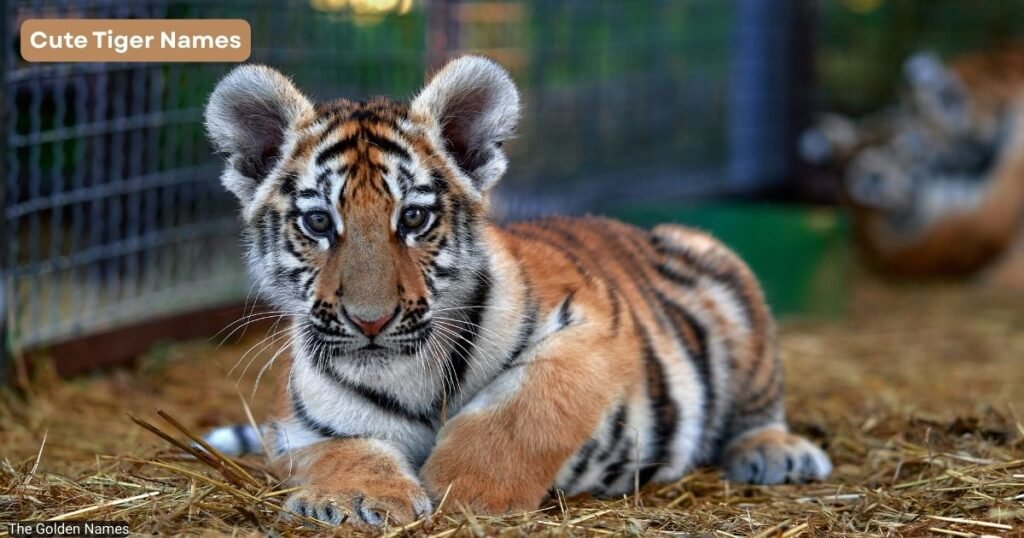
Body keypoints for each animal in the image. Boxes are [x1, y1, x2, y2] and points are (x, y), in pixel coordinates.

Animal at [202, 56, 831, 528]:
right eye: (318, 223)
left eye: (413, 218)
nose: (370, 321)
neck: (404, 373)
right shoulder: (301, 424)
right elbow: (341, 449)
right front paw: (359, 499)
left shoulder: (596, 327)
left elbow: (522, 411)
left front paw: (459, 491)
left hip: (724, 277)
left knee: (757, 409)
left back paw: (777, 452)